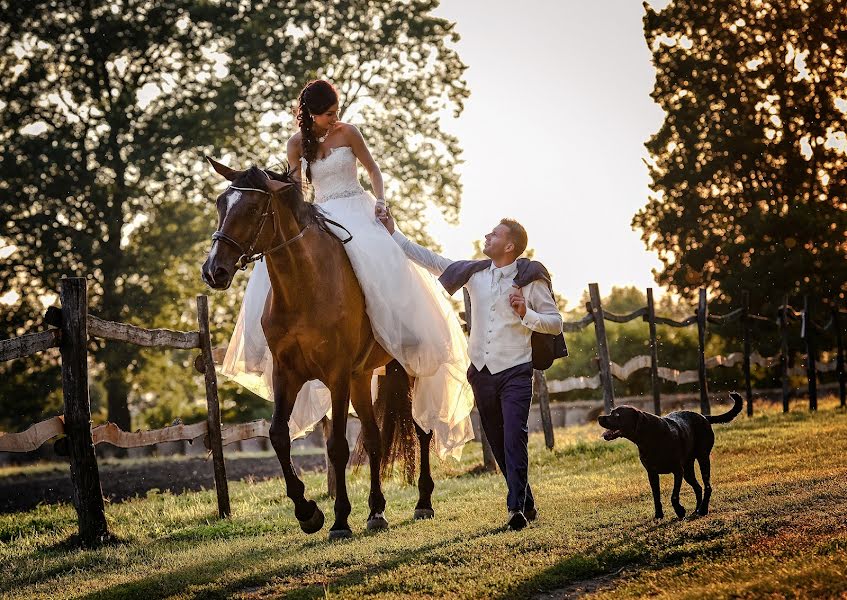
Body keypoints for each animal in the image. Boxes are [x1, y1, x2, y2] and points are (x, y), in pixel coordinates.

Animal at [201, 158, 434, 540]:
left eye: (252, 208)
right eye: (221, 204)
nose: (213, 271)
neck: (304, 286)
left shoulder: (336, 376)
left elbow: (336, 446)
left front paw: (339, 520)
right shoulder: (287, 374)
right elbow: (279, 435)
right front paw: (307, 512)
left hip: (407, 367)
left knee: (421, 430)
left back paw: (423, 503)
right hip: (361, 376)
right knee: (373, 438)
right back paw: (376, 511)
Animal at [596, 392, 744, 516]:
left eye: (617, 415)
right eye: (611, 412)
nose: (599, 417)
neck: (649, 438)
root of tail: (704, 416)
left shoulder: (677, 471)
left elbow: (674, 495)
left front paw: (680, 511)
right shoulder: (652, 473)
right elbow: (656, 495)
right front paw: (659, 514)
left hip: (702, 459)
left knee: (707, 486)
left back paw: (703, 510)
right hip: (688, 470)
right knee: (698, 487)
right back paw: (697, 509)